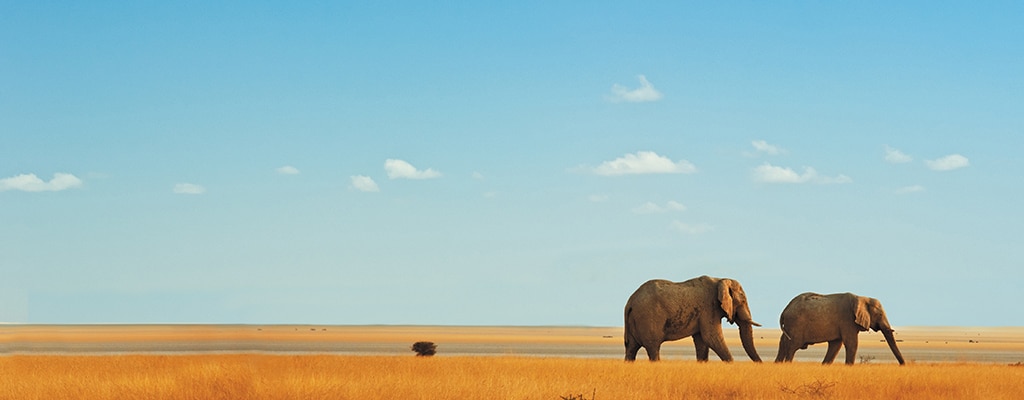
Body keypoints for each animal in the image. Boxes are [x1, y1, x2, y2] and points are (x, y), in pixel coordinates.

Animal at [622, 276, 761, 364]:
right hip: (648, 318)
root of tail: (630, 302)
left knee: (631, 348)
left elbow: (702, 342)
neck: (721, 279)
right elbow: (711, 338)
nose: (761, 363)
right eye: (742, 301)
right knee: (653, 348)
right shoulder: (709, 308)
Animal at [774, 290, 905, 366]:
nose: (903, 365)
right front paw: (849, 367)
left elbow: (836, 345)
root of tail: (785, 310)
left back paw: (777, 364)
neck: (861, 298)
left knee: (783, 343)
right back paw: (787, 365)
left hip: (789, 326)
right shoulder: (847, 320)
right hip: (795, 324)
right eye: (880, 315)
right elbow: (851, 343)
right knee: (792, 347)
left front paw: (825, 366)